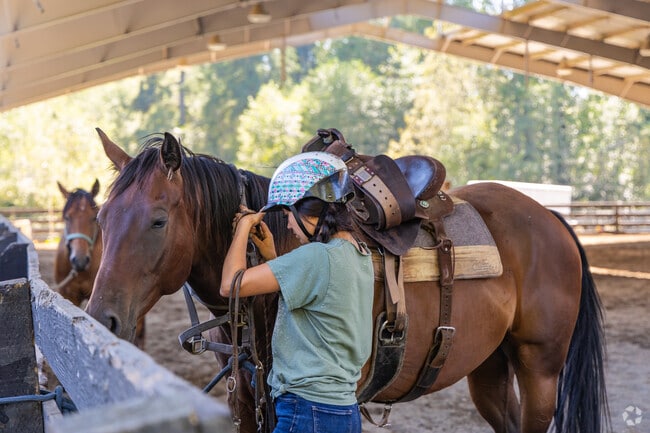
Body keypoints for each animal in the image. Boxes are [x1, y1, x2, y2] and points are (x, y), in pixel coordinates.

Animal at [86, 128, 610, 433]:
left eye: (157, 221)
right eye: (102, 217)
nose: (101, 320)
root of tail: (551, 218)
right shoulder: (251, 403)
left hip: (540, 368)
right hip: (489, 366)